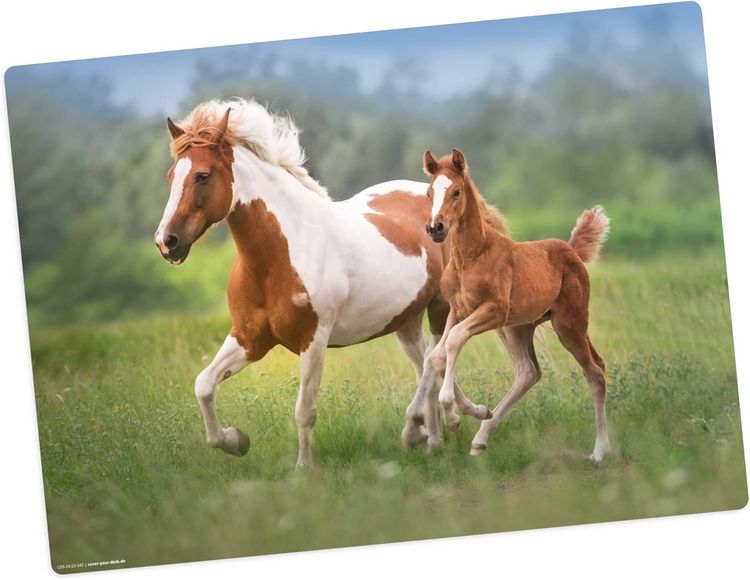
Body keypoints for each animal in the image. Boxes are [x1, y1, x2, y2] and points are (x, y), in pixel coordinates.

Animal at [153, 98, 491, 468]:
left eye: (202, 176)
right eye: (171, 176)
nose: (166, 242)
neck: (280, 256)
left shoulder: (313, 340)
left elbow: (305, 410)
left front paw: (303, 469)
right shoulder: (249, 338)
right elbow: (204, 384)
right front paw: (236, 440)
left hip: (440, 308)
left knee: (435, 360)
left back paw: (425, 427)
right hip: (406, 320)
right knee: (427, 364)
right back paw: (437, 438)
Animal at [419, 148, 612, 463]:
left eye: (457, 192)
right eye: (428, 192)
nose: (435, 228)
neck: (471, 256)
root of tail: (571, 250)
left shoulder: (494, 310)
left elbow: (455, 340)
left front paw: (453, 415)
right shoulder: (458, 310)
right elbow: (437, 355)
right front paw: (472, 412)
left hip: (569, 324)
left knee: (595, 371)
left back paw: (599, 451)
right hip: (519, 328)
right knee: (529, 372)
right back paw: (481, 438)